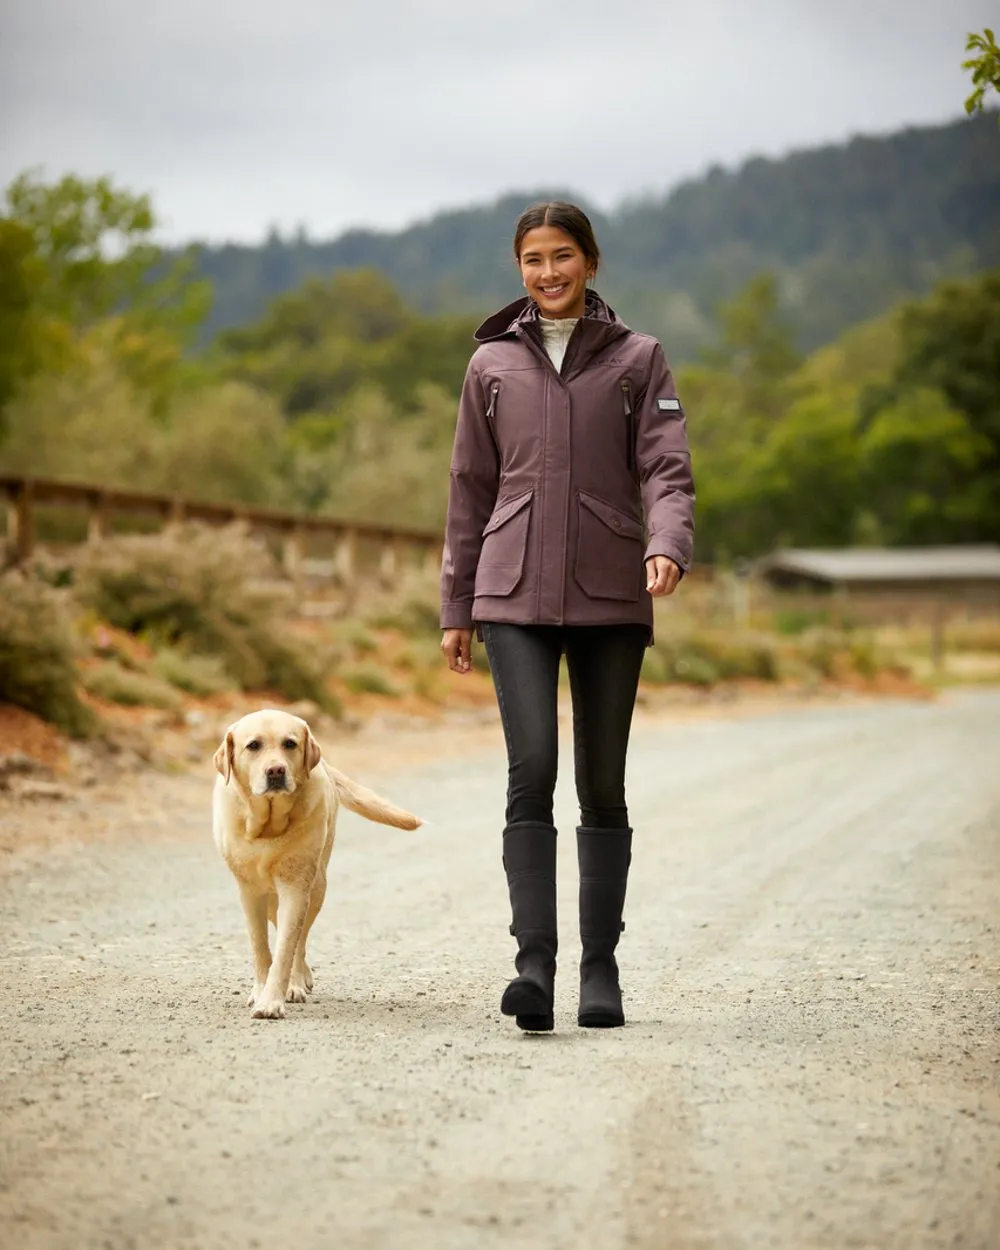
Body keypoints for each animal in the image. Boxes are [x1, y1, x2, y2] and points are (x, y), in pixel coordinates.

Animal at [215, 715, 422, 1015]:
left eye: (290, 743)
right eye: (253, 745)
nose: (276, 770)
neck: (268, 828)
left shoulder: (296, 887)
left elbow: (286, 947)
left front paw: (273, 999)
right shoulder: (250, 891)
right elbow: (260, 948)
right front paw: (260, 991)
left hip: (317, 887)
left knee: (299, 940)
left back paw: (297, 982)